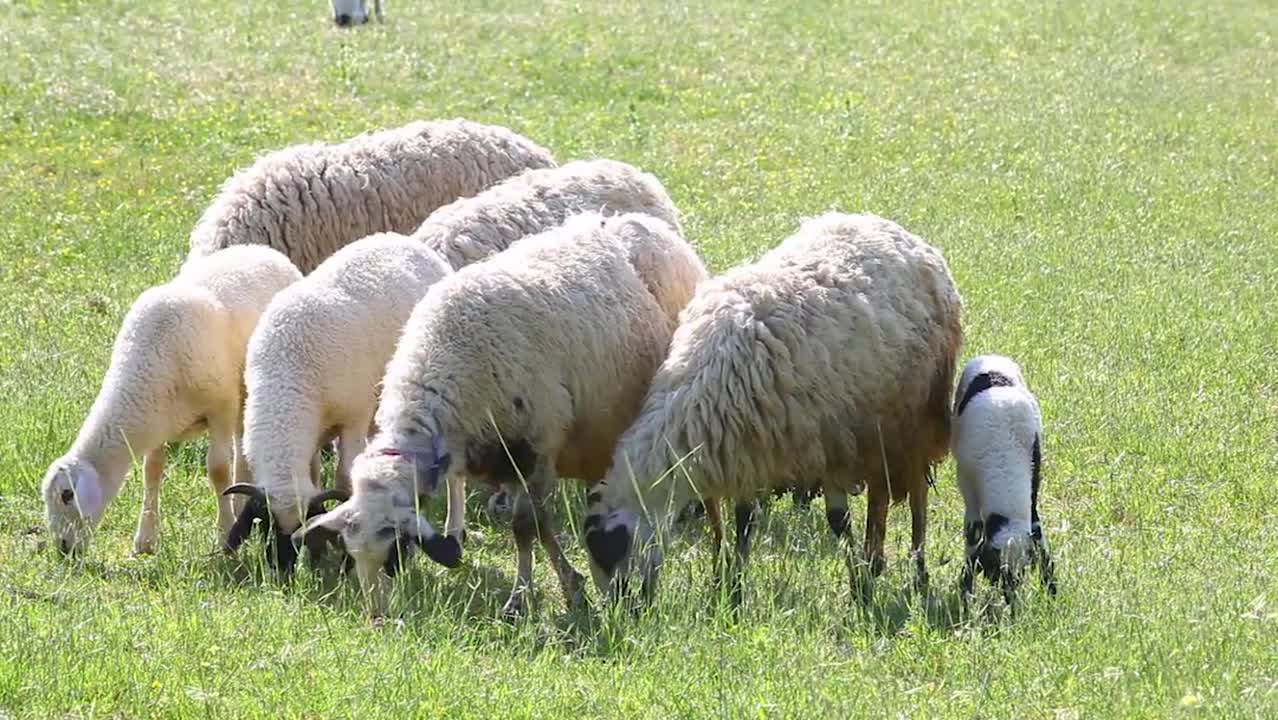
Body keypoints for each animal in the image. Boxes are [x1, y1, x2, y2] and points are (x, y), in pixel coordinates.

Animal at [40, 246, 301, 557]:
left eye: (67, 495)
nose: (63, 549)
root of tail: (263, 250)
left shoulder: (220, 409)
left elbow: (218, 471)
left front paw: (224, 534)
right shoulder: (157, 417)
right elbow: (151, 471)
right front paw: (145, 540)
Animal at [221, 233, 453, 574]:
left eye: (298, 526)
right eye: (265, 523)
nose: (281, 569)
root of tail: (400, 239)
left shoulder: (353, 419)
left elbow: (345, 476)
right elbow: (315, 473)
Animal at [293, 212, 710, 617]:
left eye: (398, 549)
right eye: (351, 552)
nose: (377, 616)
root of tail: (646, 223)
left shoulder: (537, 445)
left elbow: (526, 527)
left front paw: (523, 599)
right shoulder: (500, 454)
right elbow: (540, 525)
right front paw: (572, 586)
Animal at [583, 212, 964, 604]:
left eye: (611, 551)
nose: (623, 610)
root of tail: (892, 227)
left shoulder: (827, 443)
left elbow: (835, 521)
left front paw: (859, 586)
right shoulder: (746, 447)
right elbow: (748, 519)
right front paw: (733, 587)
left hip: (915, 413)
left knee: (915, 493)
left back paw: (918, 571)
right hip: (877, 429)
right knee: (880, 493)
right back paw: (877, 560)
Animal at [952, 354, 1057, 603]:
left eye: (1022, 574)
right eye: (997, 575)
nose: (1013, 606)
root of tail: (990, 356)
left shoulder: (1033, 487)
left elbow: (1038, 531)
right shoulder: (968, 491)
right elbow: (972, 537)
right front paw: (966, 592)